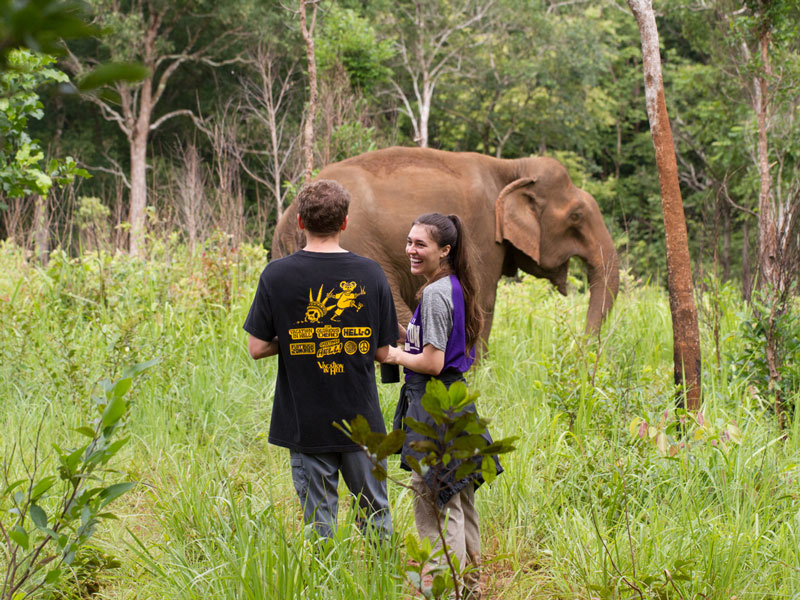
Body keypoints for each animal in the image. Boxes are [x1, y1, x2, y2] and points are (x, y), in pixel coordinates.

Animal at [274, 146, 620, 344]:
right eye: (576, 216)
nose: (580, 348)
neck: (512, 167)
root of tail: (294, 213)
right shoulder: (483, 236)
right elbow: (482, 301)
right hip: (359, 245)